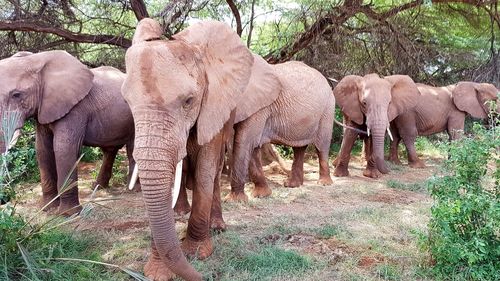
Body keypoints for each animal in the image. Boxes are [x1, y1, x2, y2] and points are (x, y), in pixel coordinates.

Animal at [226, 57, 336, 201]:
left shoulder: (260, 107)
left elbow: (245, 141)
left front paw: (233, 200)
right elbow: (251, 145)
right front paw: (262, 195)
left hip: (327, 109)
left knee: (321, 146)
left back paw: (324, 183)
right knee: (299, 148)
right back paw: (292, 185)